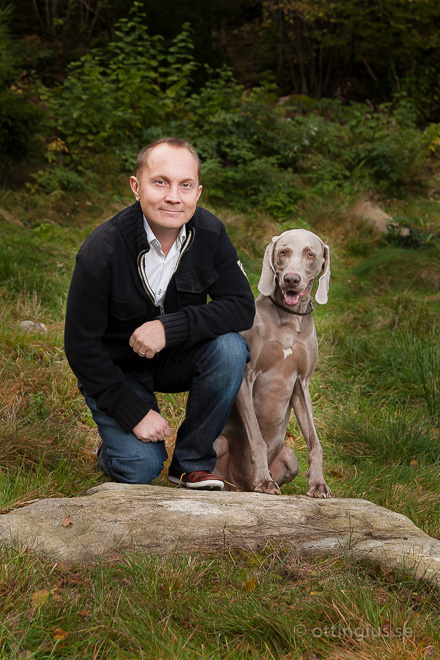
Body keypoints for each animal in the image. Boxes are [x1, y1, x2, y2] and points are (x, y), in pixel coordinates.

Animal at [215, 227, 332, 496]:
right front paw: (264, 481)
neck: (289, 319)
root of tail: (241, 484)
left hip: (290, 457)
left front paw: (318, 483)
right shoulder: (246, 377)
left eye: (310, 254)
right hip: (218, 443)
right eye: (283, 252)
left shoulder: (302, 384)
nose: (291, 279)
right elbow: (257, 438)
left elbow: (315, 442)